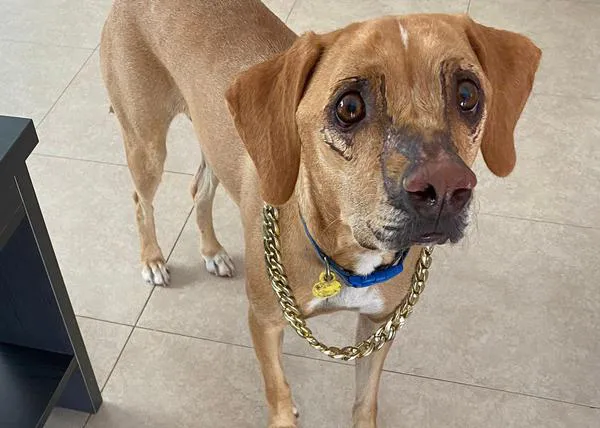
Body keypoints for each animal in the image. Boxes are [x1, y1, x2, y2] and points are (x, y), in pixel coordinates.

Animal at [101, 1, 540, 426]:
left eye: (468, 94)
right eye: (349, 106)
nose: (446, 188)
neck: (345, 256)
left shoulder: (379, 327)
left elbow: (364, 403)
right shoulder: (265, 322)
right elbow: (278, 392)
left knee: (199, 188)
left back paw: (212, 251)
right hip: (146, 142)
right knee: (142, 201)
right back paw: (153, 259)